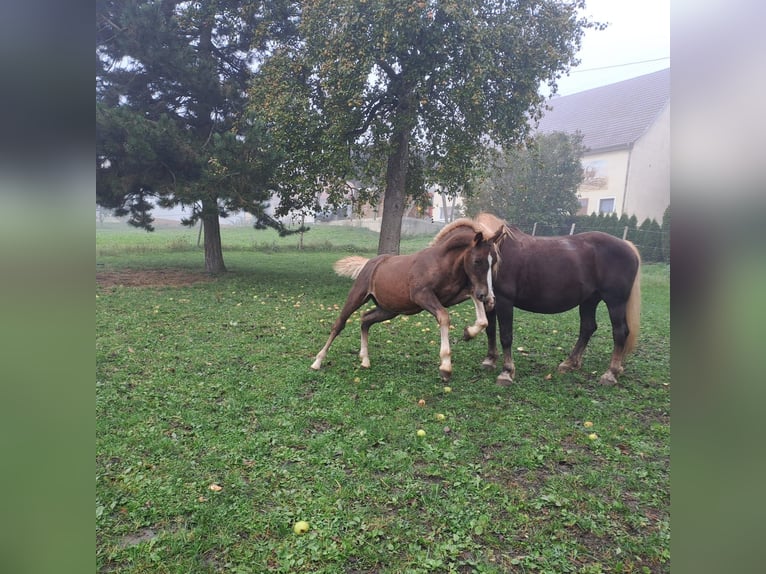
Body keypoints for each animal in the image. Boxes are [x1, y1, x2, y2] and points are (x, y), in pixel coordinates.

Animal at [312, 220, 510, 382]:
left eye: (494, 262)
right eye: (477, 261)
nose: (488, 296)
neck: (441, 263)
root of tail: (369, 263)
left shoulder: (452, 296)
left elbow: (480, 314)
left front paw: (468, 333)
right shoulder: (422, 296)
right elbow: (444, 317)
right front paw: (446, 367)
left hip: (388, 309)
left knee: (365, 319)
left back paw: (365, 360)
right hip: (358, 296)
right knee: (340, 323)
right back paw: (317, 361)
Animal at [474, 214, 640, 390]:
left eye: (488, 260)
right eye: (477, 260)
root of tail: (628, 246)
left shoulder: (504, 301)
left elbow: (506, 336)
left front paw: (506, 372)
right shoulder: (489, 302)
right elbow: (490, 330)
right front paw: (490, 360)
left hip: (615, 302)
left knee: (620, 332)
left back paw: (611, 373)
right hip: (589, 301)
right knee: (588, 328)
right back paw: (570, 363)